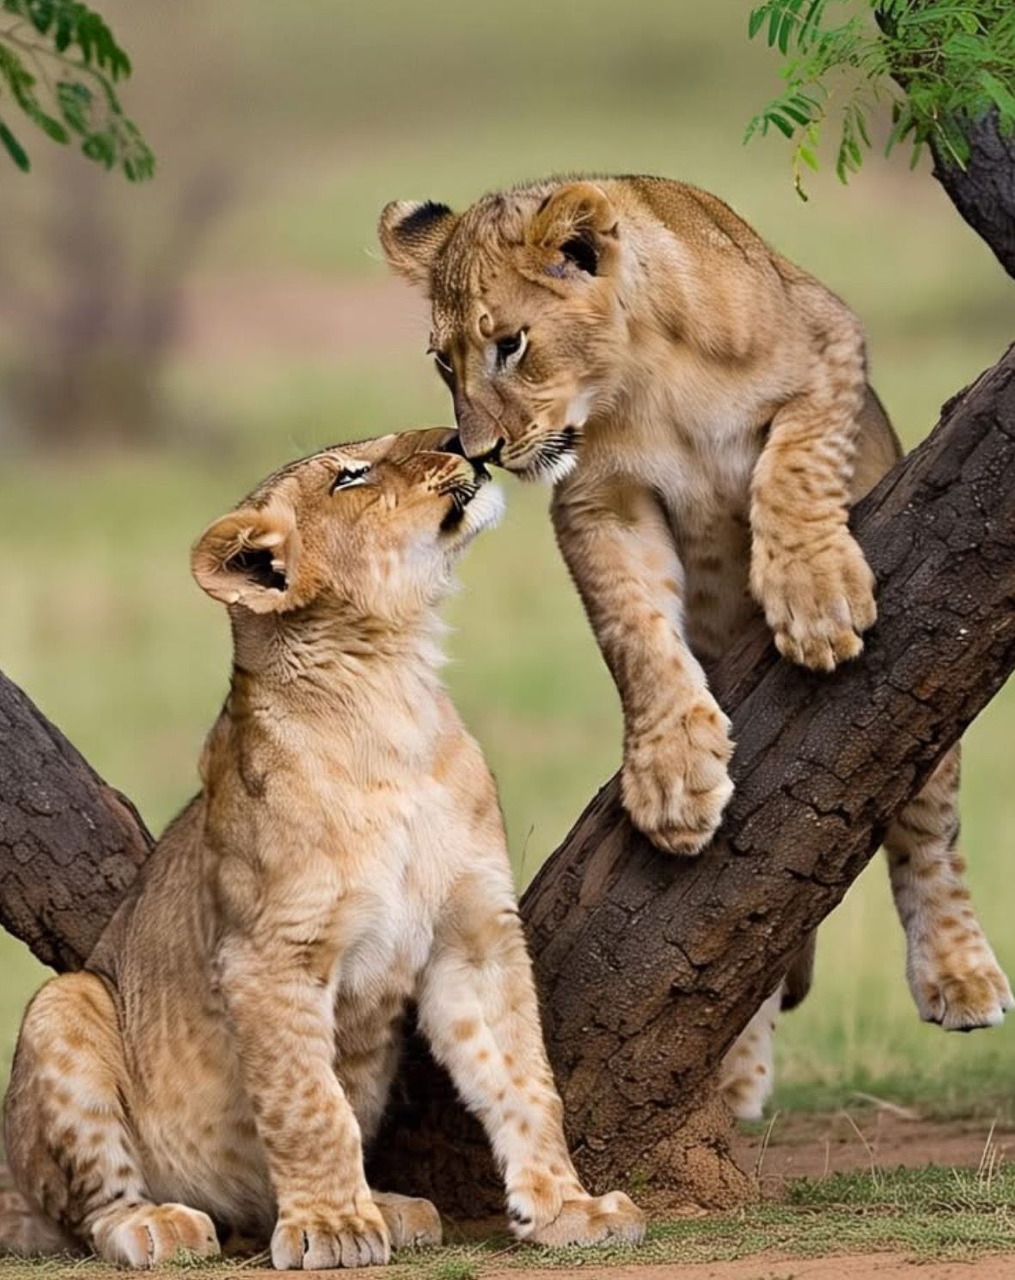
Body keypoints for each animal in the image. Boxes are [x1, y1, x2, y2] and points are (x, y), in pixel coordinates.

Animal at [1, 428, 645, 1268]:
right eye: (351, 476)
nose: (455, 437)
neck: (393, 694)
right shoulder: (269, 954)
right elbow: (310, 1104)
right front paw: (334, 1227)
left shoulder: (473, 937)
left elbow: (524, 1080)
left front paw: (569, 1209)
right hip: (66, 1006)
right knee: (88, 1212)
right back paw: (158, 1223)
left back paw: (392, 1206)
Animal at [378, 175, 1013, 1119]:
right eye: (442, 361)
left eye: (509, 344)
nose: (479, 452)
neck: (640, 380)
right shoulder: (599, 502)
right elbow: (636, 635)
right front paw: (671, 778)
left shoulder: (830, 343)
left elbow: (793, 464)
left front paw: (814, 595)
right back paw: (735, 1084)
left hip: (929, 740)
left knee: (925, 835)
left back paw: (959, 975)